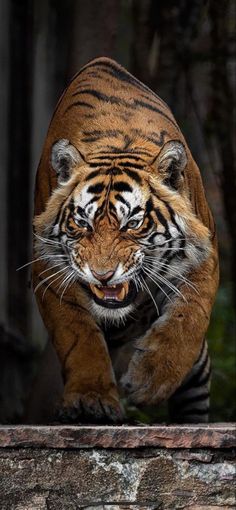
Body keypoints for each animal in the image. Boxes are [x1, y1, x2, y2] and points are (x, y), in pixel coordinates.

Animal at [32, 56, 218, 422]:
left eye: (132, 223)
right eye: (82, 223)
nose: (102, 275)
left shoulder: (205, 255)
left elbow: (189, 318)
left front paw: (149, 381)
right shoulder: (49, 269)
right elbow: (78, 336)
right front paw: (90, 400)